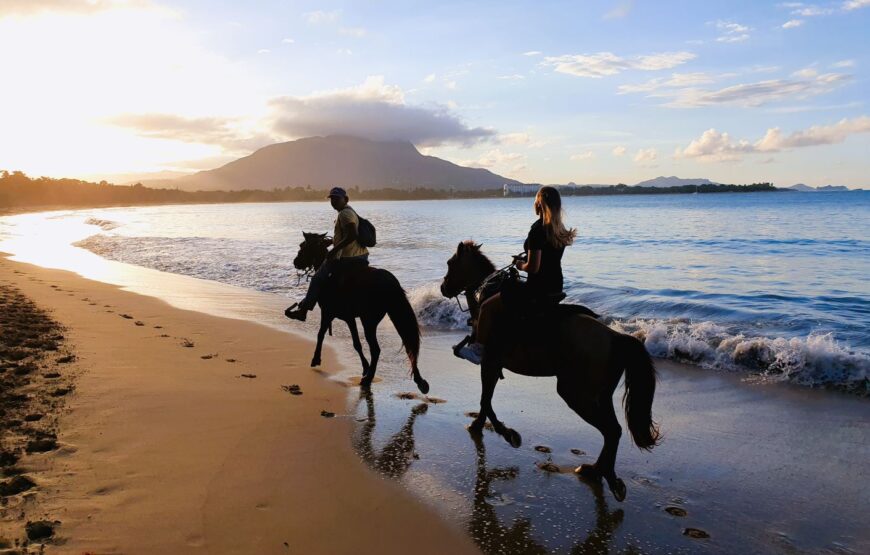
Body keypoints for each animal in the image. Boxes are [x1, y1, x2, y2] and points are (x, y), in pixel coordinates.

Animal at [292, 232, 430, 394]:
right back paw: (419, 381)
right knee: (408, 345)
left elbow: (321, 334)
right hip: (391, 314)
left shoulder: (327, 312)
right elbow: (356, 343)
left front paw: (316, 359)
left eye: (303, 246)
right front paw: (365, 367)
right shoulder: (349, 318)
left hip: (368, 320)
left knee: (376, 349)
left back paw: (368, 378)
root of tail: (390, 282)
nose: (296, 262)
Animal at [442, 241, 660, 502]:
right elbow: (486, 400)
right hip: (600, 395)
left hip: (575, 394)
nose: (443, 287)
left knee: (610, 430)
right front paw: (480, 426)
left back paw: (602, 474)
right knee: (613, 431)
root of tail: (615, 337)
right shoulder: (493, 366)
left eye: (451, 263)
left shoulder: (490, 363)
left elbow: (486, 400)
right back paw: (598, 472)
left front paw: (507, 433)